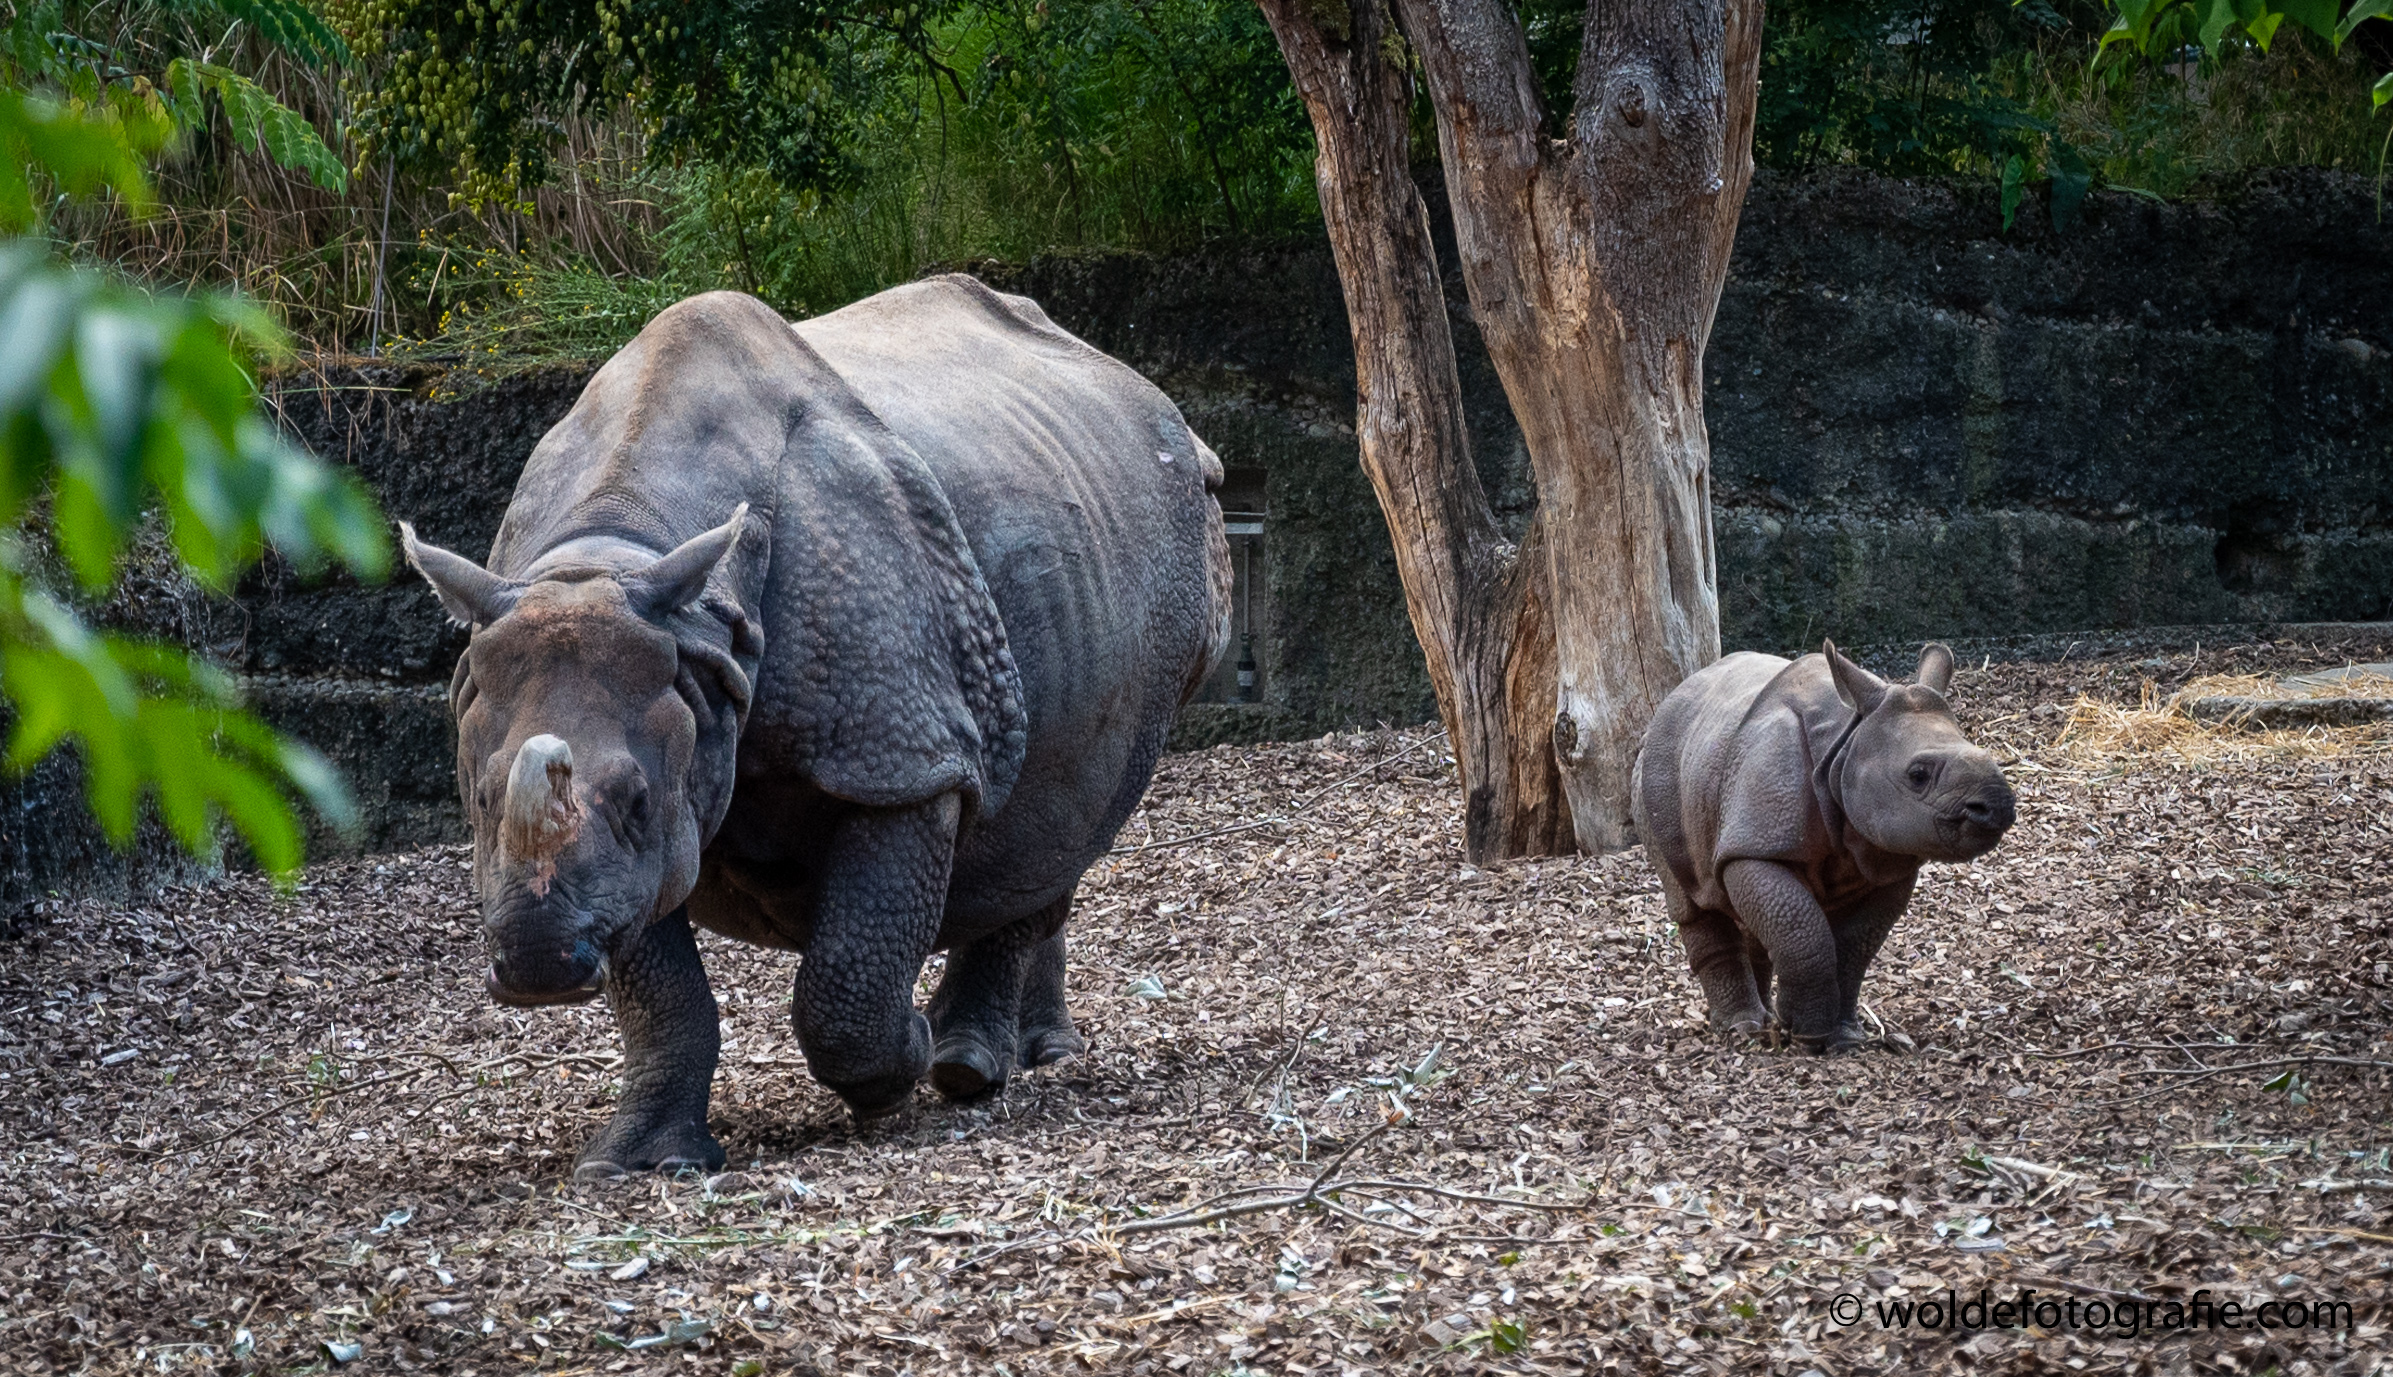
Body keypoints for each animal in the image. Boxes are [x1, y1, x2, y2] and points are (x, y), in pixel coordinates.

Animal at [399, 280, 1230, 1176]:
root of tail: (1159, 404)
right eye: (482, 800)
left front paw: (897, 1065)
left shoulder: (902, 753)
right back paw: (1028, 1051)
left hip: (1168, 549)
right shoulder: (651, 790)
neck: (616, 548)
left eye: (635, 800)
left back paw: (966, 1068)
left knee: (1069, 811)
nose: (539, 965)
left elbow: (848, 973)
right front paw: (638, 1162)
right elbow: (663, 991)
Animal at [1631, 642, 2015, 1052]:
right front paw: (1808, 1033)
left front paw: (1844, 1037)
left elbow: (1853, 948)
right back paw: (1743, 1029)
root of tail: (1672, 699)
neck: (1849, 741)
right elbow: (1801, 931)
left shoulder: (1890, 863)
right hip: (1655, 771)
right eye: (1918, 775)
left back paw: (1763, 1023)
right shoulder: (1759, 842)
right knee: (1693, 900)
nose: (1997, 806)